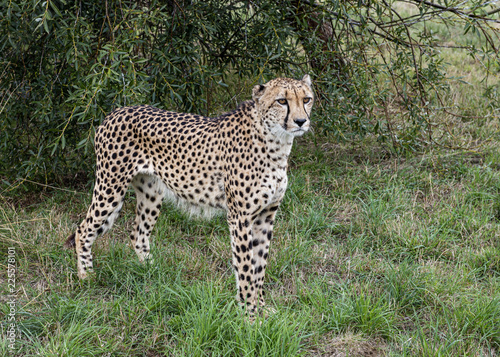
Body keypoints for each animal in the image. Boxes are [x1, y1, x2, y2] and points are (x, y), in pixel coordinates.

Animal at [65, 74, 314, 314]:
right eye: (282, 101)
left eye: (306, 99)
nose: (301, 121)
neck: (276, 142)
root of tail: (116, 111)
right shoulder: (240, 218)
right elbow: (245, 269)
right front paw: (249, 315)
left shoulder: (266, 216)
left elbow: (260, 267)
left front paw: (262, 308)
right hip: (110, 187)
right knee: (83, 229)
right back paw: (86, 276)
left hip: (151, 193)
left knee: (138, 233)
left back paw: (154, 273)